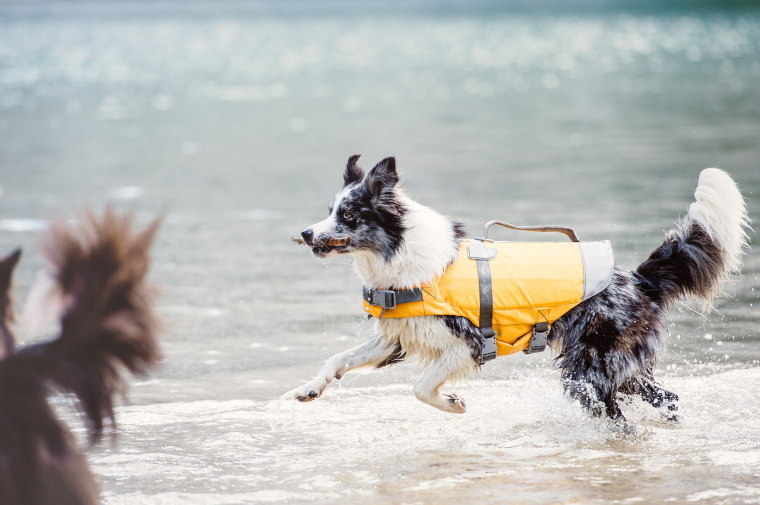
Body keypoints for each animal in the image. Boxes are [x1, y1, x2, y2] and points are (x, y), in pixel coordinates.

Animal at [290, 156, 748, 420]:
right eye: (329, 210)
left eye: (348, 215)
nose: (306, 233)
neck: (399, 254)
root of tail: (637, 279)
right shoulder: (399, 337)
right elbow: (338, 359)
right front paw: (310, 387)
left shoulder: (466, 344)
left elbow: (420, 388)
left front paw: (452, 403)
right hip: (625, 370)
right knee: (667, 398)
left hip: (588, 373)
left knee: (618, 418)